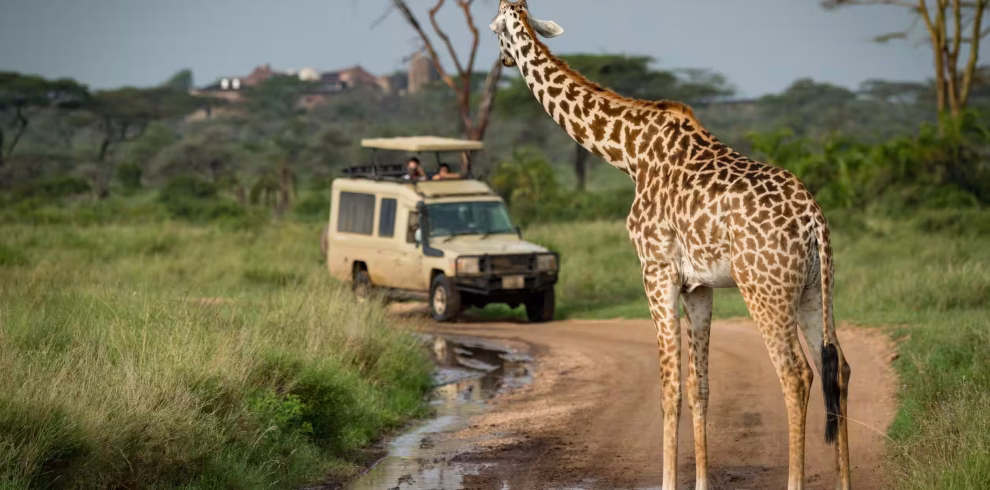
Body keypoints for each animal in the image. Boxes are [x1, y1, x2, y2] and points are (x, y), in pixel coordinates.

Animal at [489, 2, 852, 489]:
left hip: (765, 288)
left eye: (495, 31)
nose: (503, 61)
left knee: (796, 376)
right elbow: (700, 386)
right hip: (814, 289)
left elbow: (669, 386)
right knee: (839, 367)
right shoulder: (697, 286)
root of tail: (814, 220)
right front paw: (701, 482)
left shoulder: (655, 270)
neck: (628, 153)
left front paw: (668, 481)